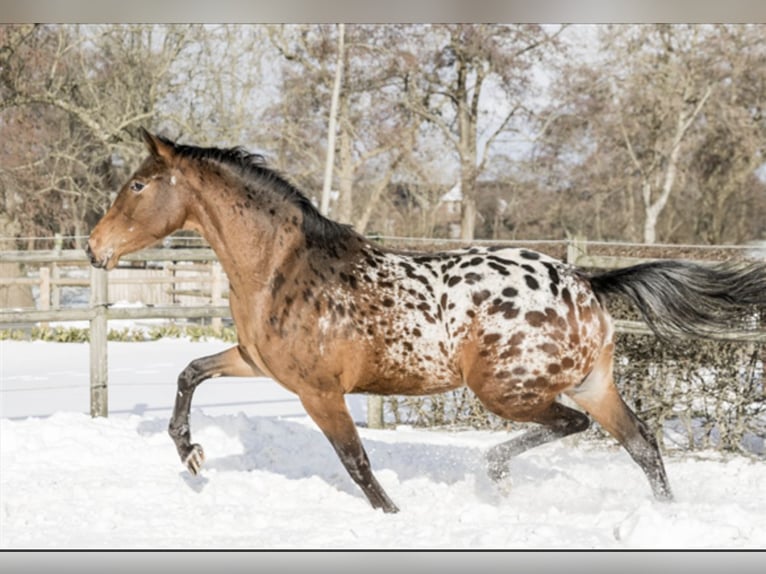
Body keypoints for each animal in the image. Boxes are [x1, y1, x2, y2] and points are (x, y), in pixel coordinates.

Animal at [87, 132, 766, 516]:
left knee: (574, 427)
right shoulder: (259, 363)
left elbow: (356, 462)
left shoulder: (318, 391)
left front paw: (393, 516)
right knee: (642, 443)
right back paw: (665, 515)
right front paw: (191, 453)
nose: (94, 248)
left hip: (507, 390)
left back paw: (496, 473)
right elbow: (190, 372)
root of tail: (583, 283)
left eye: (138, 184)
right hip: (591, 383)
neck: (279, 267)